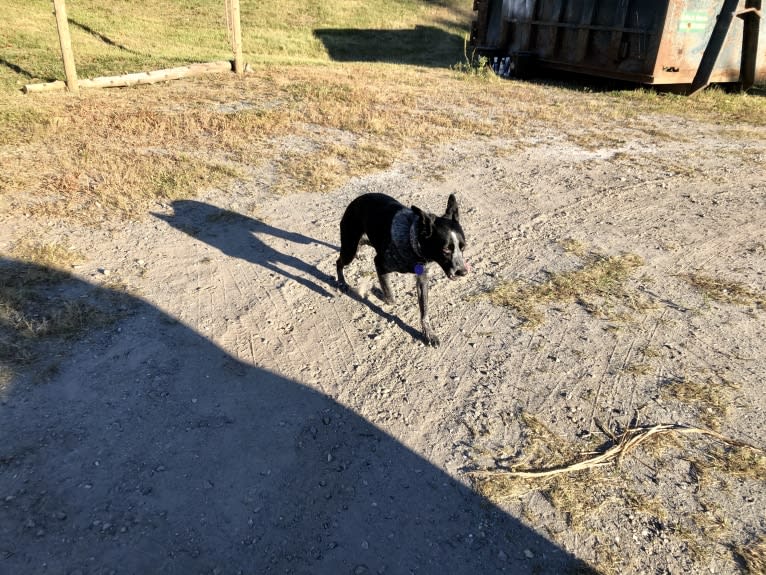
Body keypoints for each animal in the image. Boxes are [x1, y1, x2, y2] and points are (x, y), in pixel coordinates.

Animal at [340, 194, 472, 346]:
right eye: (445, 250)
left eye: (463, 247)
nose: (463, 272)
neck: (411, 238)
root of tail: (356, 200)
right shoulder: (379, 262)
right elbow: (390, 298)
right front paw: (379, 293)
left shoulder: (422, 279)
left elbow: (424, 311)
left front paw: (429, 334)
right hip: (349, 250)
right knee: (338, 262)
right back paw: (342, 282)